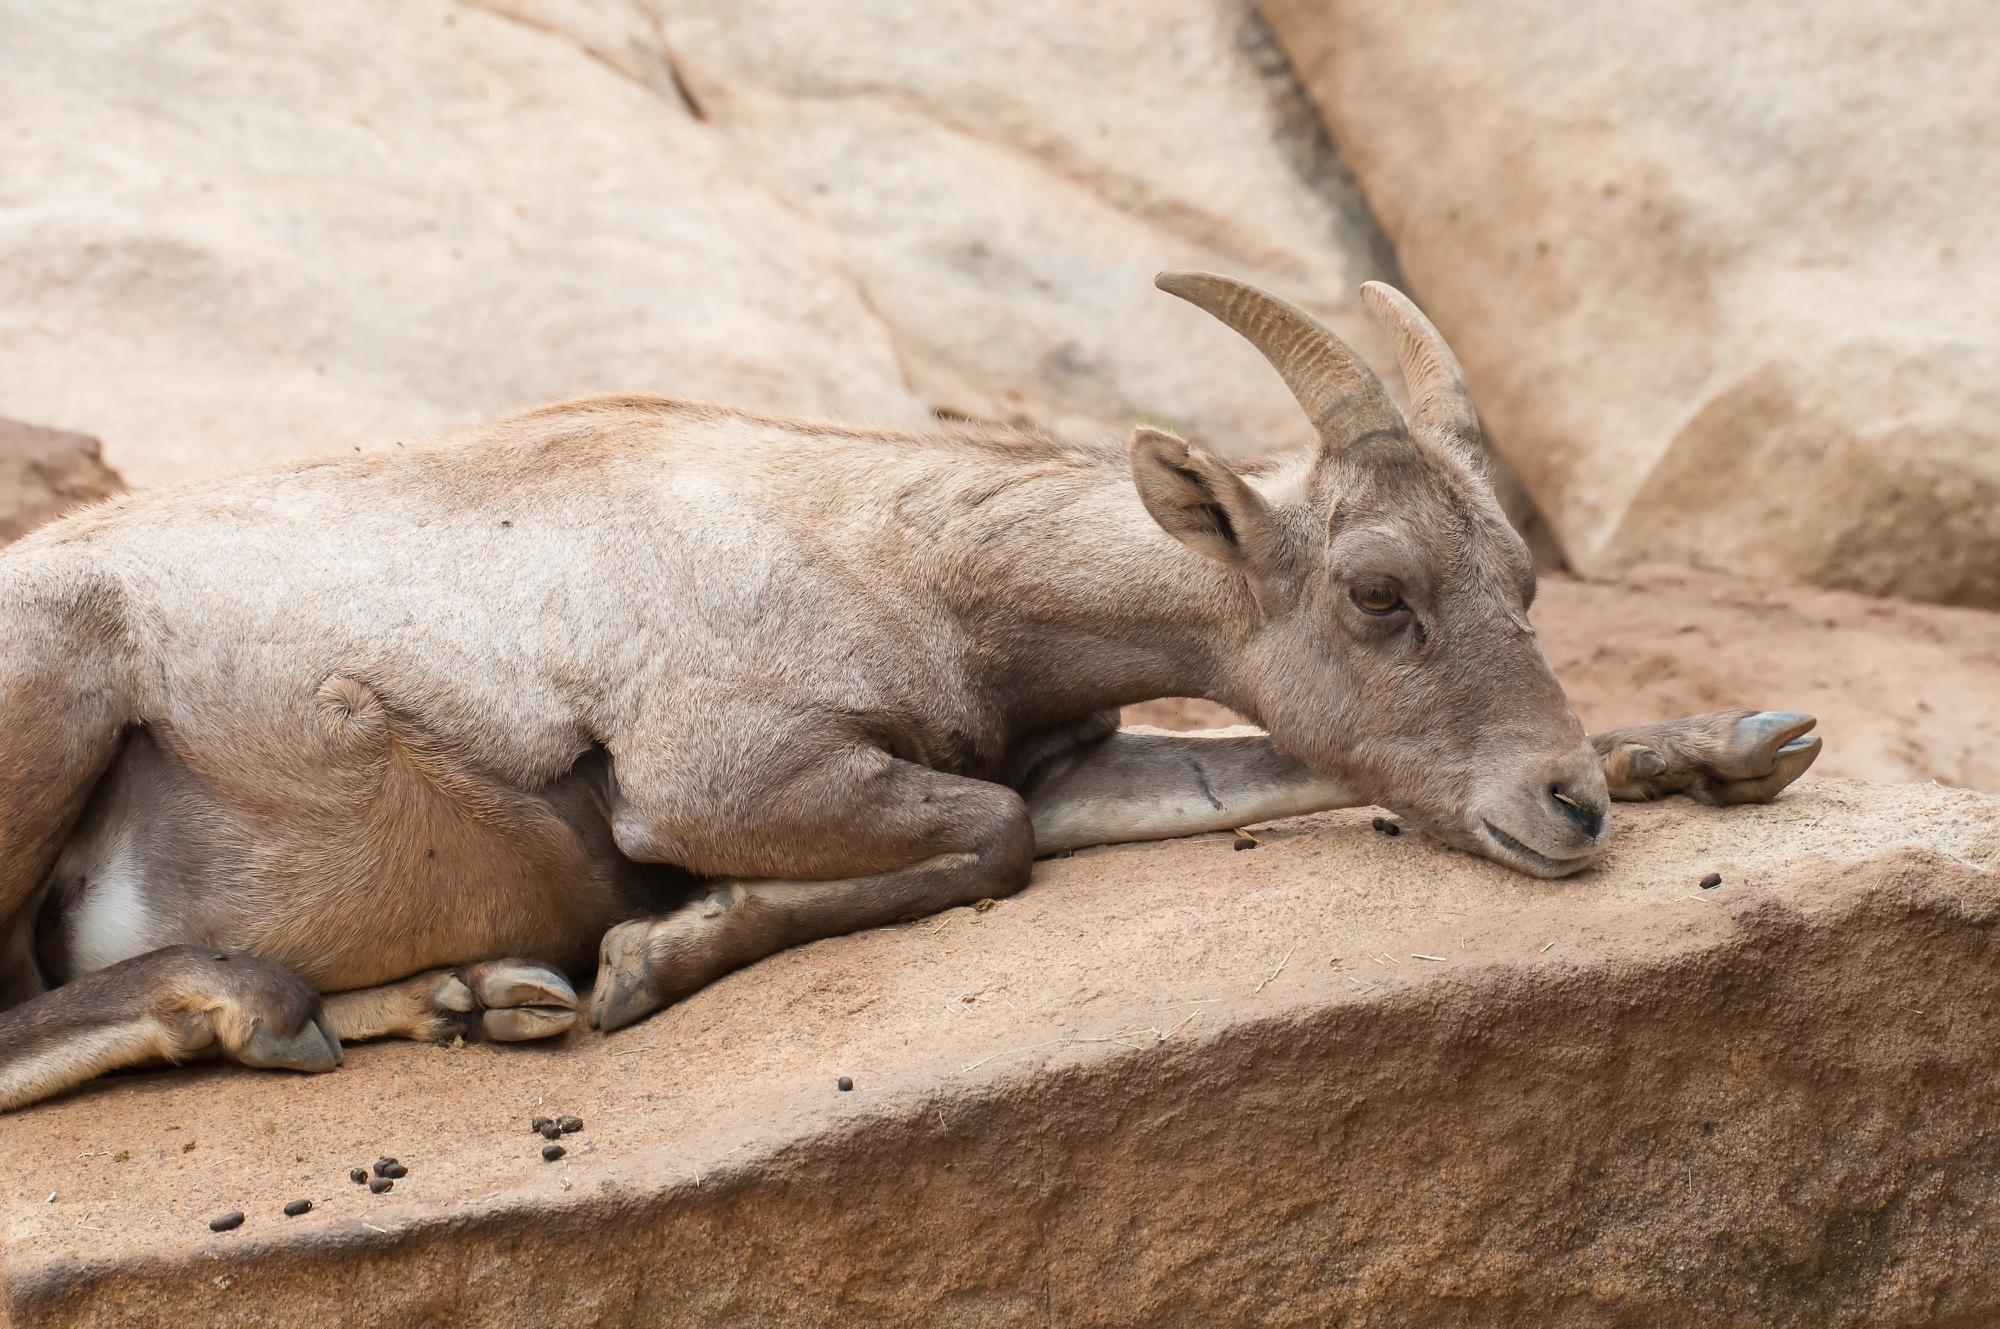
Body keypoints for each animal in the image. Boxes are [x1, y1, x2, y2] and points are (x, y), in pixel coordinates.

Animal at [0, 272, 1816, 1112]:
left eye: (1521, 582)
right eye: (1380, 593)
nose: (1562, 808)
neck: (903, 555)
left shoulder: (1082, 764)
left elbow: (1240, 772)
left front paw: (1746, 744)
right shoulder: (726, 776)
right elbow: (986, 837)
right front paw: (654, 953)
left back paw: (466, 997)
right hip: (54, 697)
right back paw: (261, 1003)